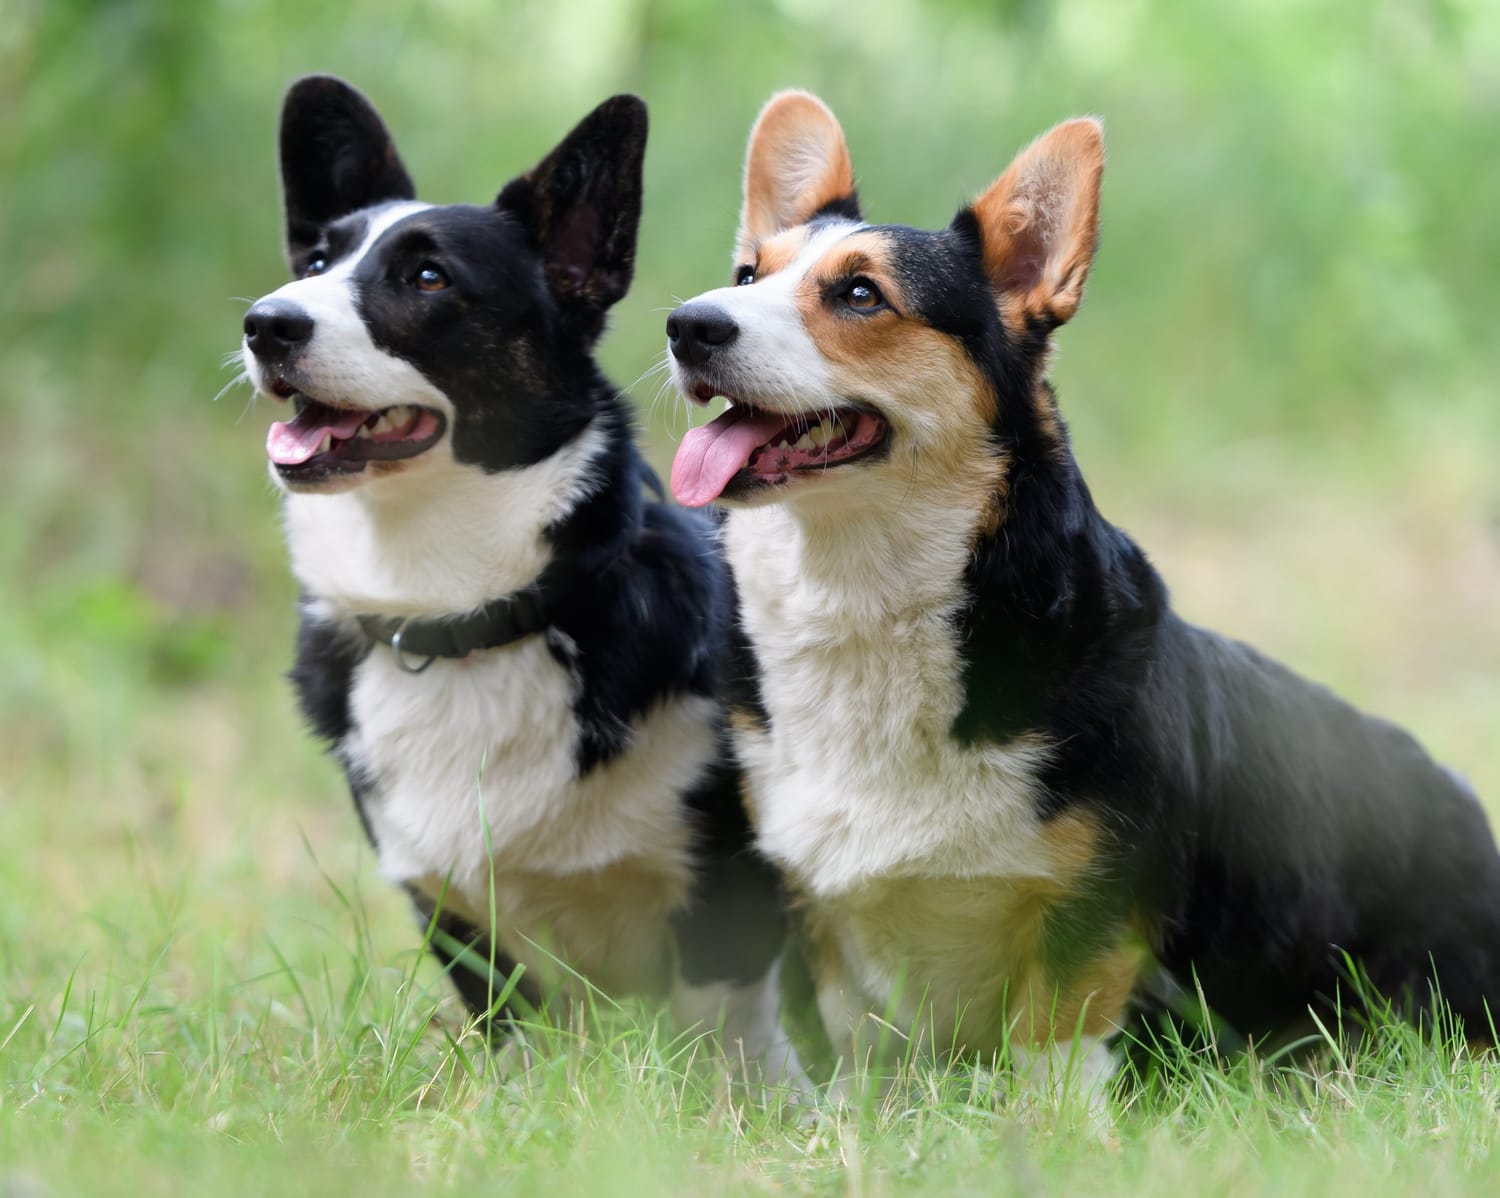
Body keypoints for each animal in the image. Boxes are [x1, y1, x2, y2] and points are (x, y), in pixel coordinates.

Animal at [237, 74, 798, 1067]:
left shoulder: (726, 895)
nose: (265, 323)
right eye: (316, 262)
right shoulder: (460, 921)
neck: (464, 618)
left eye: (428, 277)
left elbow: (725, 1036)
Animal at [666, 93, 1500, 1103]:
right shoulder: (829, 912)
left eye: (861, 294)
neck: (863, 595)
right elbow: (865, 1041)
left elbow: (1054, 1047)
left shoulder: (1092, 909)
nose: (686, 324)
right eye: (748, 274)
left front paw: (1057, 1128)